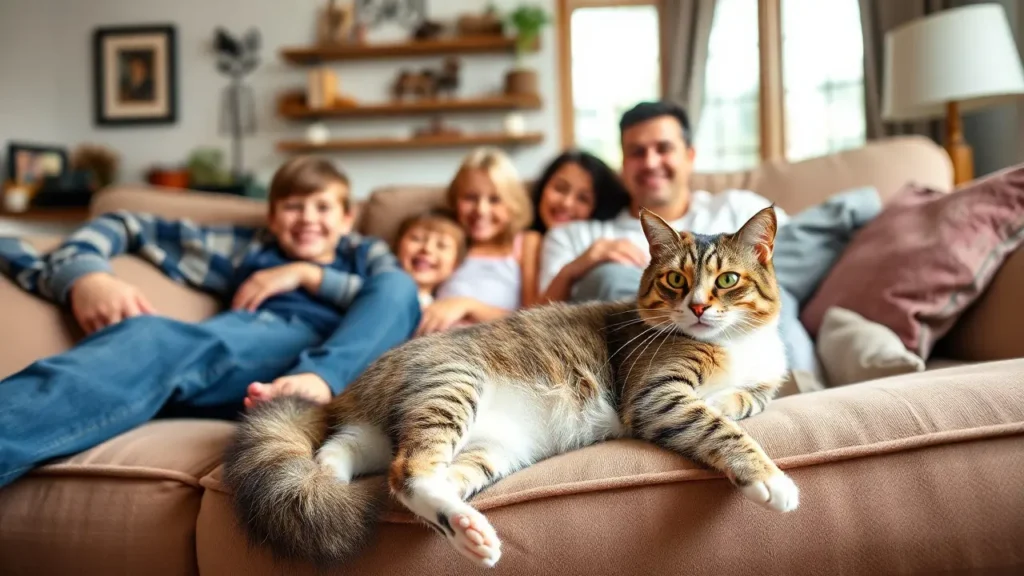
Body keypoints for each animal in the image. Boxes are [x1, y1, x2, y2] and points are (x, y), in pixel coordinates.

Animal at [222, 204, 798, 565]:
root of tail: (349, 390)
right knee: (406, 474)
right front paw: (770, 478)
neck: (737, 343)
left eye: (728, 280)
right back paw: (461, 524)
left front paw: (732, 403)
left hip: (491, 448)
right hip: (453, 383)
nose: (698, 307)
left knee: (359, 459)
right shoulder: (655, 392)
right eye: (676, 280)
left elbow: (745, 401)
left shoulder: (761, 384)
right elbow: (718, 427)